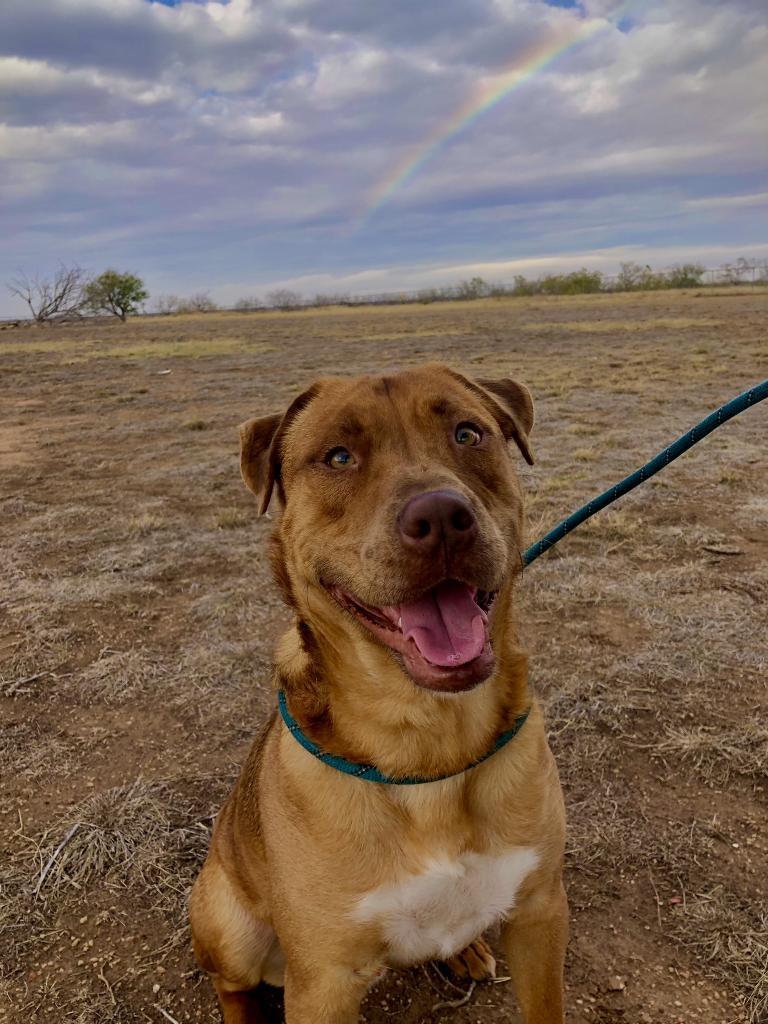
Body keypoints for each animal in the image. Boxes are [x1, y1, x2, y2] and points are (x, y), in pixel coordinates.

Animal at [189, 366, 569, 1024]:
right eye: (339, 456)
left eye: (468, 433)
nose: (441, 518)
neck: (430, 739)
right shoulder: (324, 984)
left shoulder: (541, 912)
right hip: (228, 923)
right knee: (230, 983)